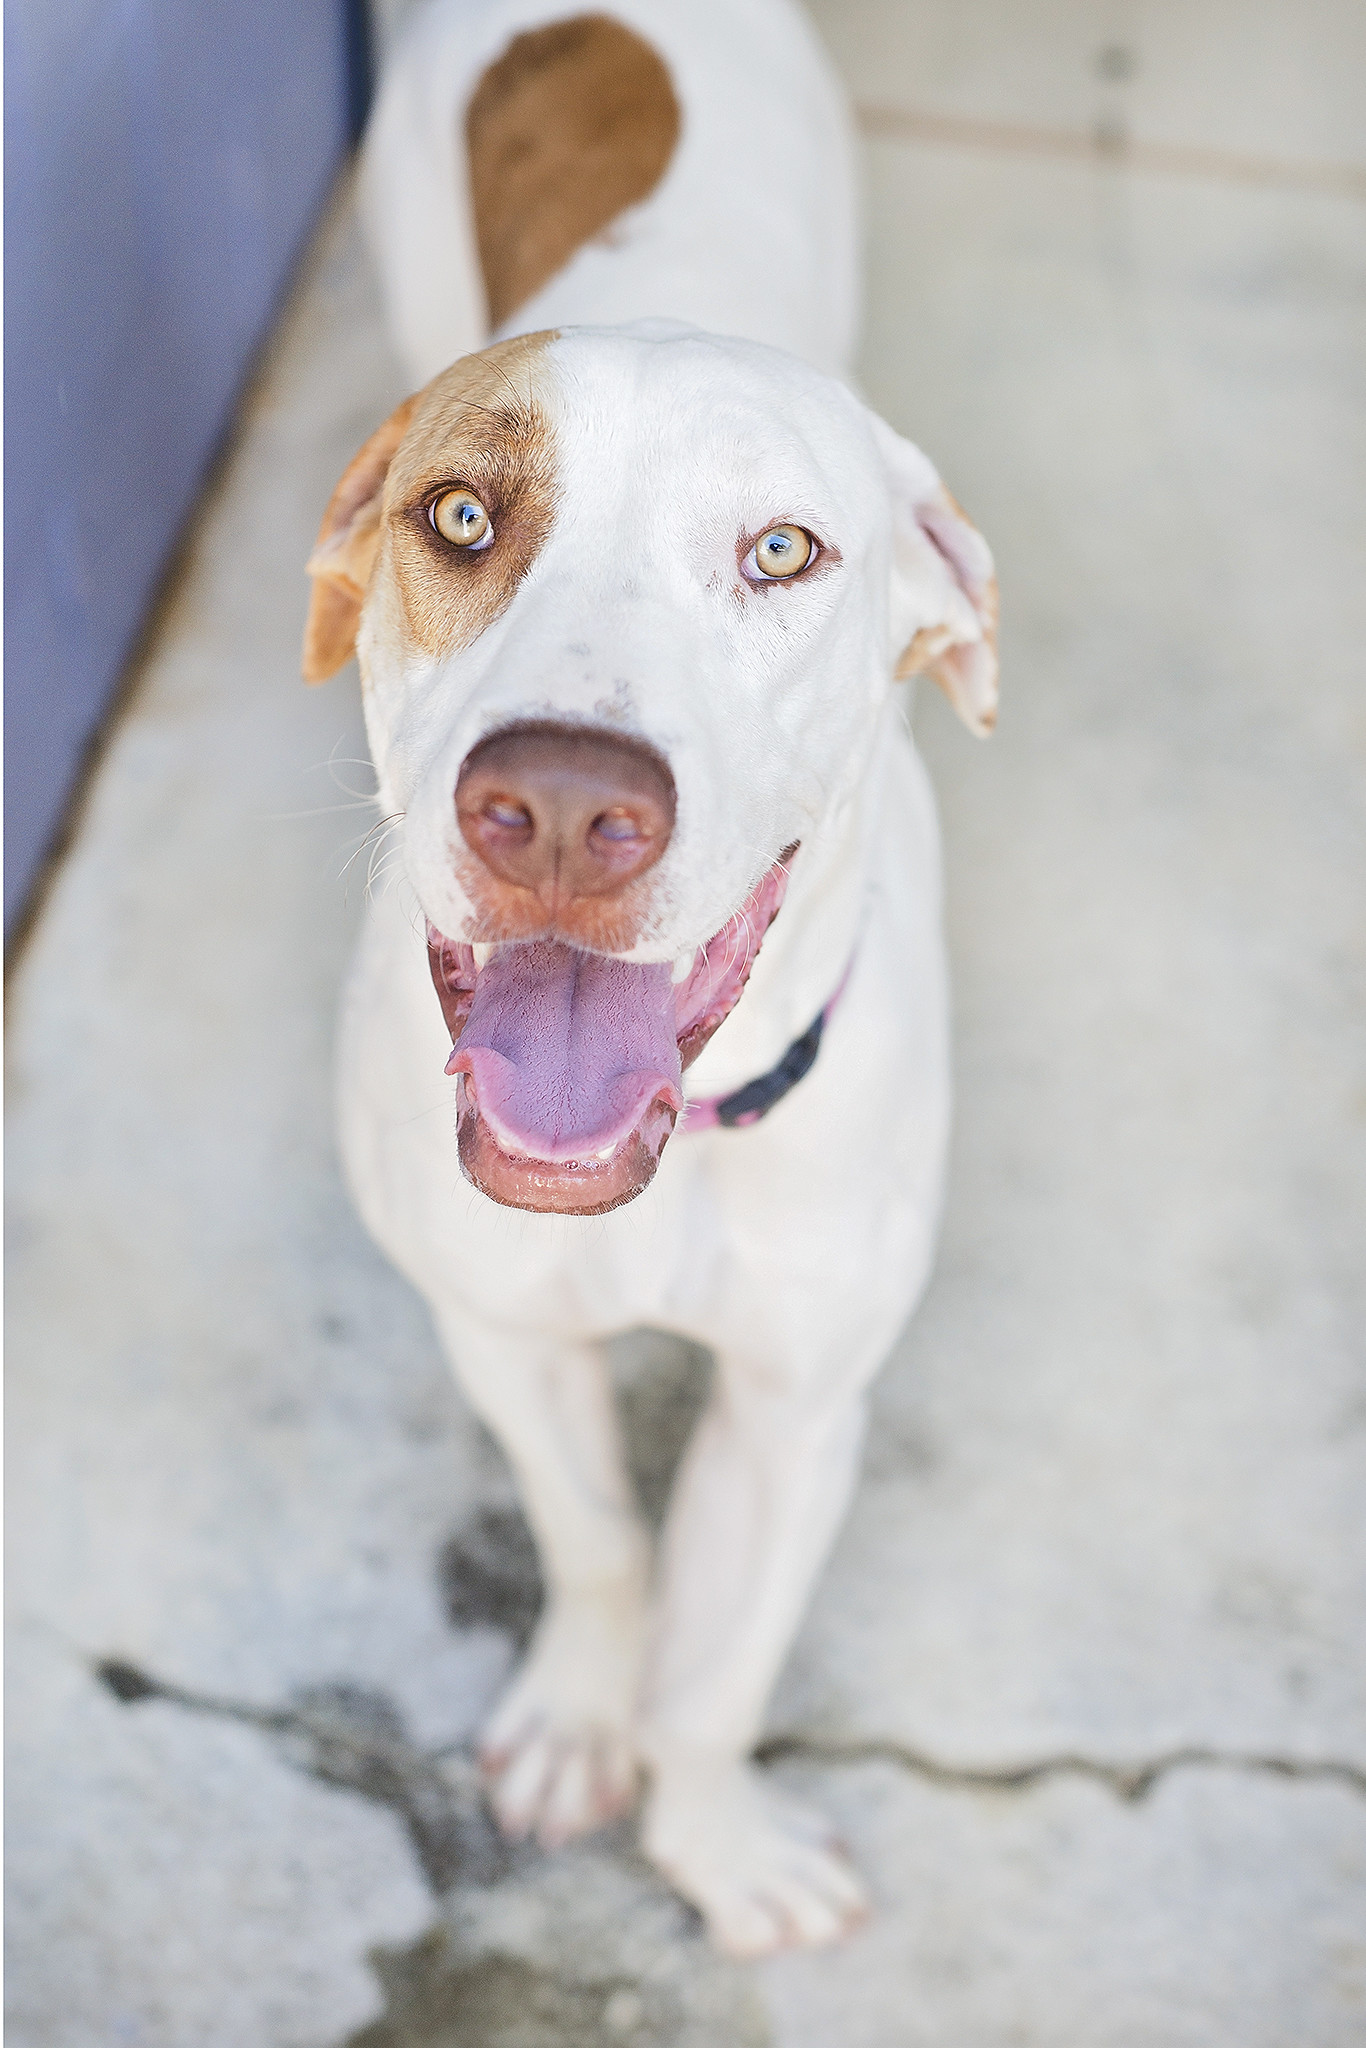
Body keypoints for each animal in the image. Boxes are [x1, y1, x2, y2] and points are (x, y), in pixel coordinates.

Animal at [302, 0, 997, 1957]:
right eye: (461, 515)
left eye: (781, 552)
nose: (556, 805)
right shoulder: (499, 1327)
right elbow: (604, 1541)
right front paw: (573, 1721)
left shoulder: (800, 1406)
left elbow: (718, 1660)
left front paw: (717, 1838)